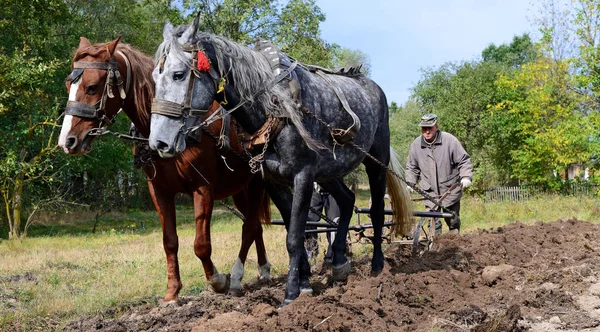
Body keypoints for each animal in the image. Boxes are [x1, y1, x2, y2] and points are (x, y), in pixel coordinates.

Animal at [57, 37, 270, 304]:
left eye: (93, 87)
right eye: (68, 84)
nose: (67, 141)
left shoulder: (203, 188)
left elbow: (201, 244)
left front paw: (218, 281)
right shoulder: (159, 190)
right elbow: (170, 241)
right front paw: (172, 293)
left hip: (258, 183)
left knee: (250, 226)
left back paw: (238, 277)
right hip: (241, 188)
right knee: (255, 225)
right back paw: (262, 270)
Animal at [149, 16, 412, 306]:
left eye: (178, 74)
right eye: (154, 77)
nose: (158, 142)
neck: (274, 105)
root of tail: (372, 86)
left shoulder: (303, 176)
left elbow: (295, 237)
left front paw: (290, 294)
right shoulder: (273, 181)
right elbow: (292, 230)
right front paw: (305, 283)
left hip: (375, 161)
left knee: (376, 211)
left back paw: (377, 266)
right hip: (328, 172)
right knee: (347, 200)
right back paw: (340, 262)